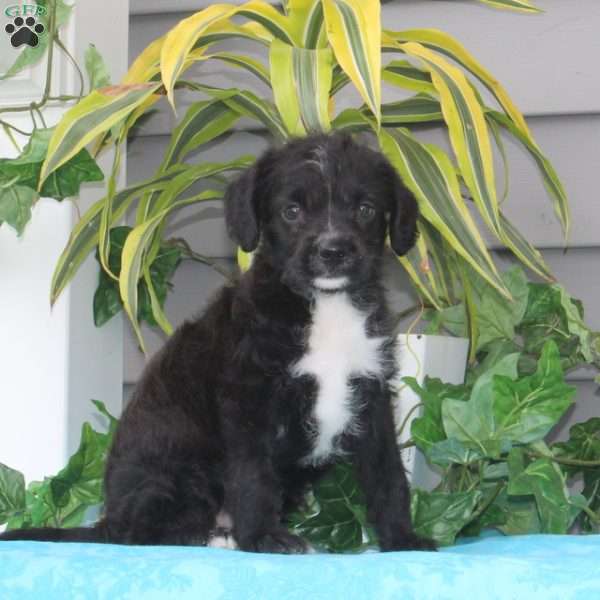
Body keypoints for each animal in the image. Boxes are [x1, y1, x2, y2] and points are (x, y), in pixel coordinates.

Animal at [0, 131, 432, 552]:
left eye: (366, 210)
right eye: (291, 212)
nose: (333, 251)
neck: (327, 306)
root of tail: (108, 519)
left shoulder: (372, 394)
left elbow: (389, 474)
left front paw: (402, 539)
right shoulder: (249, 400)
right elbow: (254, 474)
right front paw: (263, 537)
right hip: (182, 463)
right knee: (140, 532)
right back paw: (213, 535)